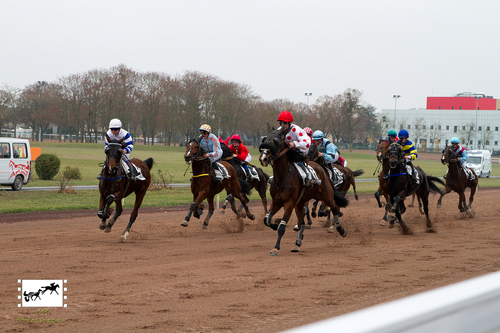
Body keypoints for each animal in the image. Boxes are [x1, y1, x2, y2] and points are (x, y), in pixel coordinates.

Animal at [258, 124, 348, 254]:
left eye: (276, 141)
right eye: (264, 139)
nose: (263, 158)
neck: (283, 177)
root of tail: (321, 168)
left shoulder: (289, 203)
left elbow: (282, 226)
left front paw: (276, 247)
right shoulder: (276, 202)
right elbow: (266, 220)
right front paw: (274, 225)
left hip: (327, 195)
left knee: (334, 207)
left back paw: (340, 229)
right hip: (300, 204)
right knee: (301, 222)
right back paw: (297, 244)